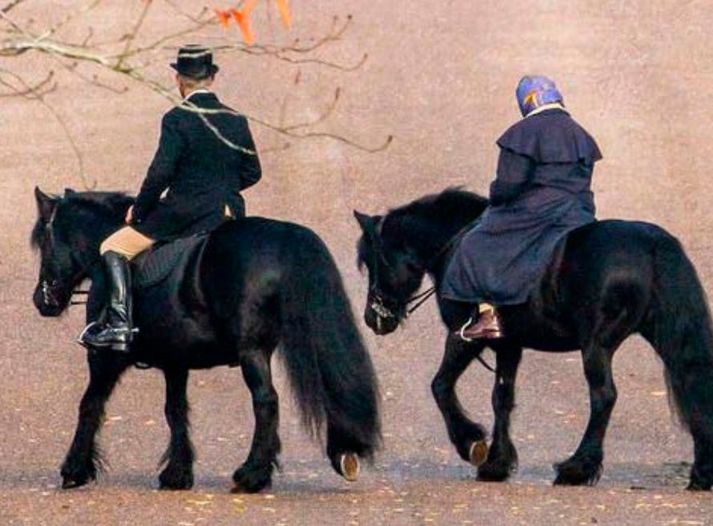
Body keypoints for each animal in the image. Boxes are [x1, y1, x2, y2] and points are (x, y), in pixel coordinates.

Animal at [32, 189, 378, 496]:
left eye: (45, 242)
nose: (42, 300)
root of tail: (282, 236)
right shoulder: (175, 361)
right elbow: (175, 410)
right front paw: (177, 474)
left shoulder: (106, 358)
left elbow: (90, 404)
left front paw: (74, 470)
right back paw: (344, 455)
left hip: (252, 351)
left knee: (266, 401)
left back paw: (251, 475)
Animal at [354, 189, 712, 490]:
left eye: (374, 260)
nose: (373, 318)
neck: (453, 245)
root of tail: (653, 245)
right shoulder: (508, 345)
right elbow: (501, 397)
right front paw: (496, 464)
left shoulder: (464, 337)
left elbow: (440, 385)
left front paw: (471, 444)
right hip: (664, 337)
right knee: (691, 383)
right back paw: (700, 473)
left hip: (597, 345)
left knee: (603, 397)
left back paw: (575, 468)